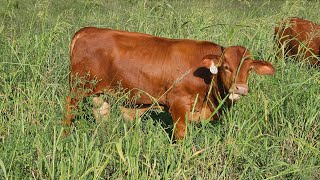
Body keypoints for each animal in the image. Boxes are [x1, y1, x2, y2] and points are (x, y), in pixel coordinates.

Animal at [65, 27, 276, 139]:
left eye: (249, 69)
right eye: (226, 67)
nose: (241, 88)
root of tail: (86, 30)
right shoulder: (178, 105)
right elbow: (180, 137)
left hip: (100, 93)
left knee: (101, 113)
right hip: (78, 88)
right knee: (70, 107)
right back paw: (65, 133)